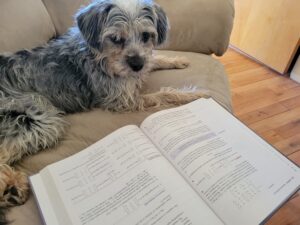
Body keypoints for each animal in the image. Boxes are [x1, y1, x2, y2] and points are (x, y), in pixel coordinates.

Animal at [0, 0, 206, 216]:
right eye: (115, 38)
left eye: (146, 36)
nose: (136, 65)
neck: (98, 55)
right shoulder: (124, 99)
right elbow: (164, 93)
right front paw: (193, 94)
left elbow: (154, 59)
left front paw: (176, 60)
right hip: (42, 116)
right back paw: (11, 187)